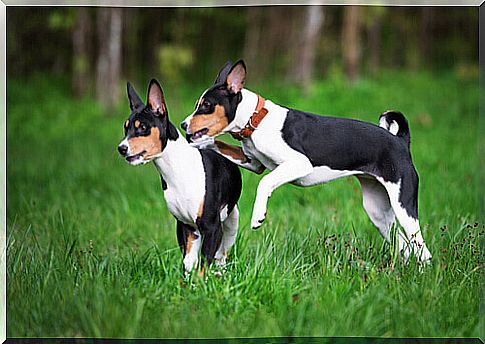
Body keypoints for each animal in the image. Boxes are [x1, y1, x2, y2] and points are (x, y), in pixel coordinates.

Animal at [117, 79, 242, 272]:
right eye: (126, 129)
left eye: (143, 127)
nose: (121, 148)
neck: (177, 171)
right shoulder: (186, 226)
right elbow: (189, 263)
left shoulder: (212, 227)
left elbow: (204, 264)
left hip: (231, 222)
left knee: (221, 255)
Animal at [181, 60, 432, 264]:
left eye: (206, 105)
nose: (183, 125)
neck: (257, 120)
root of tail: (400, 142)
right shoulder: (253, 163)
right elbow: (218, 145)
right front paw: (200, 144)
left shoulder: (298, 164)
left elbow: (265, 183)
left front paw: (258, 215)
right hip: (378, 210)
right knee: (403, 244)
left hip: (403, 206)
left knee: (422, 249)